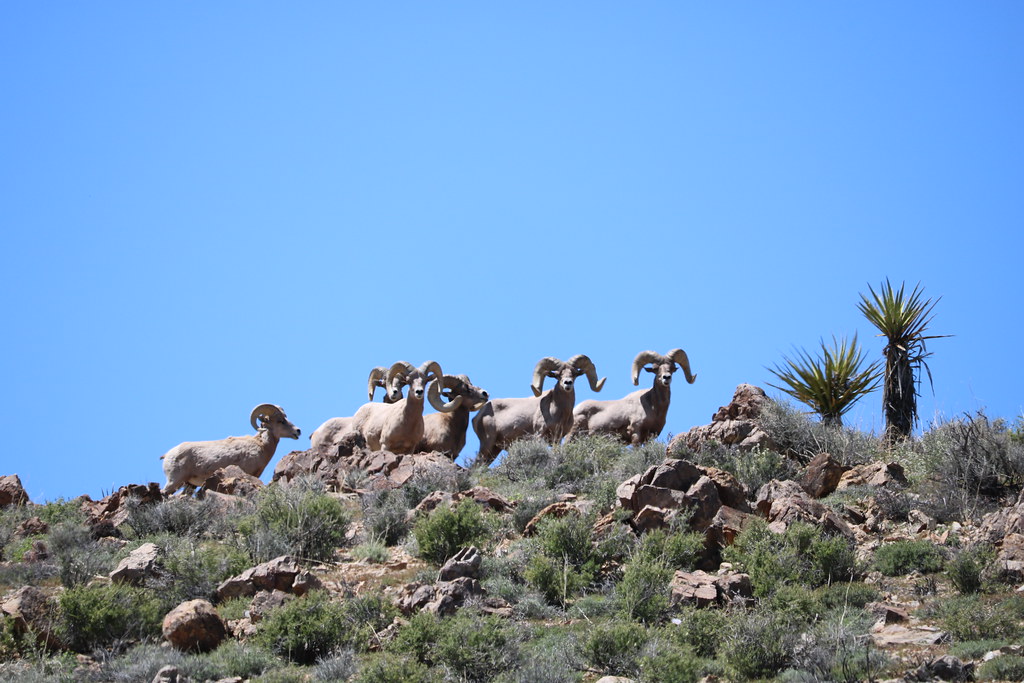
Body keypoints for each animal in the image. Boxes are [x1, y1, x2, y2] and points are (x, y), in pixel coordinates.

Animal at [160, 404, 301, 495]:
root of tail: (167, 455)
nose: (298, 431)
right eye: (280, 421)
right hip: (175, 481)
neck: (261, 446)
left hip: (189, 485)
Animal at [472, 355, 605, 465]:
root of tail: (478, 415)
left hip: (494, 450)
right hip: (487, 445)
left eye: (574, 373)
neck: (559, 412)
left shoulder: (557, 439)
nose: (567, 383)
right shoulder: (539, 435)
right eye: (558, 375)